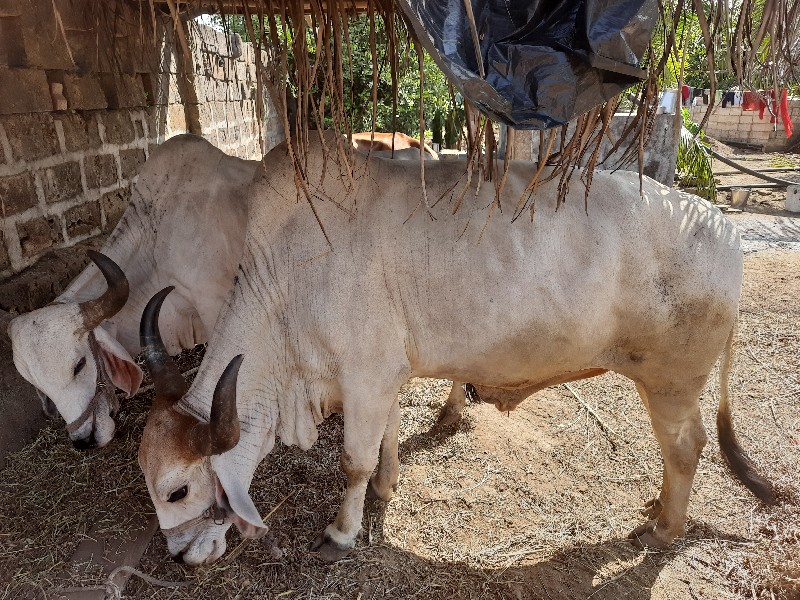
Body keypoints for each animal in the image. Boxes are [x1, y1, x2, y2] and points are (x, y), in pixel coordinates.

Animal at [134, 131, 772, 568]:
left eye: (179, 490)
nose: (180, 555)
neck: (287, 277)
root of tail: (724, 227)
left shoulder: (363, 376)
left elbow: (352, 460)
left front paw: (342, 532)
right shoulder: (383, 375)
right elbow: (387, 438)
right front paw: (386, 488)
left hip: (670, 383)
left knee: (686, 448)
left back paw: (665, 529)